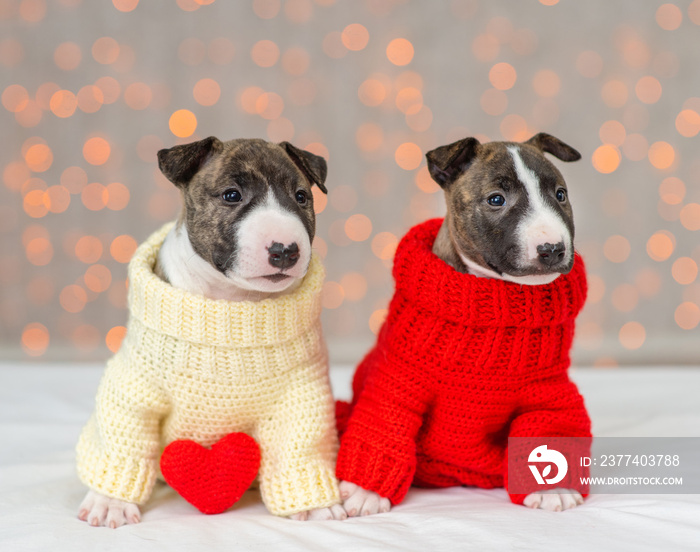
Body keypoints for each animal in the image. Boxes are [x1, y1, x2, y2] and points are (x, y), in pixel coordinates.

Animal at [78, 137, 348, 528]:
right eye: (231, 195)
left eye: (301, 196)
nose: (285, 250)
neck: (233, 304)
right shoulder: (133, 389)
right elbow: (123, 439)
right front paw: (109, 501)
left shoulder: (299, 395)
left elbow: (299, 446)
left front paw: (314, 505)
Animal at [336, 134, 588, 516]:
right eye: (496, 199)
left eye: (560, 194)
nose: (552, 249)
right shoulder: (398, 382)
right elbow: (385, 425)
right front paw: (367, 491)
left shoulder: (547, 393)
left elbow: (549, 429)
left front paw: (553, 487)